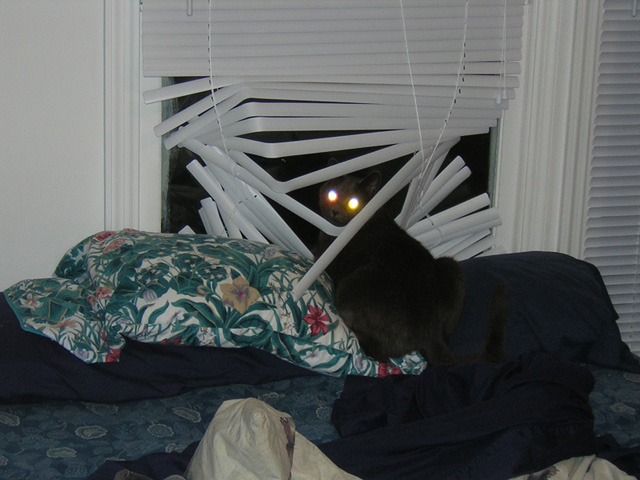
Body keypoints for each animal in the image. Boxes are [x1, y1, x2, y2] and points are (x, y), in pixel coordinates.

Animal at [315, 163, 508, 366]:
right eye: (332, 194)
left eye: (353, 202)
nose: (335, 210)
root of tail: (430, 331)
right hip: (452, 267)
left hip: (350, 285)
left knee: (379, 354)